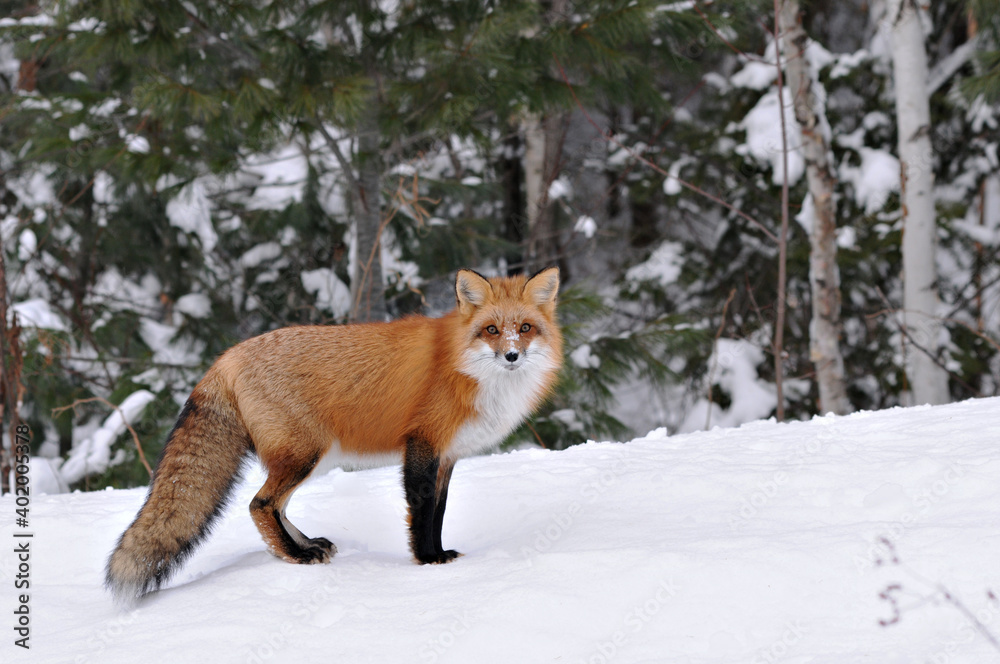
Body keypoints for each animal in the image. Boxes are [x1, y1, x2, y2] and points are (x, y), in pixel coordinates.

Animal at [105, 267, 562, 605]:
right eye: (491, 330)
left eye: (524, 328)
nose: (512, 355)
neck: (464, 369)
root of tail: (226, 356)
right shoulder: (422, 445)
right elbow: (421, 512)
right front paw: (428, 563)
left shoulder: (447, 456)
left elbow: (439, 512)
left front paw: (440, 555)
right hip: (304, 455)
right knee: (260, 504)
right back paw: (295, 556)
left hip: (312, 459)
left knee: (276, 506)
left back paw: (305, 545)